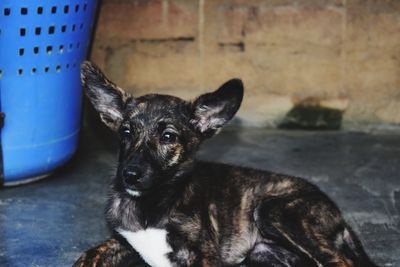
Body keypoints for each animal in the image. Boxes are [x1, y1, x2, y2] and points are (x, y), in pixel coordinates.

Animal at [72, 61, 378, 267]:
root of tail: (338, 213)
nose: (129, 175)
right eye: (125, 132)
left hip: (275, 211)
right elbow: (89, 254)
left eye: (168, 136)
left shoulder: (205, 254)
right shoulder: (121, 242)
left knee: (339, 261)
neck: (150, 204)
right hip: (265, 254)